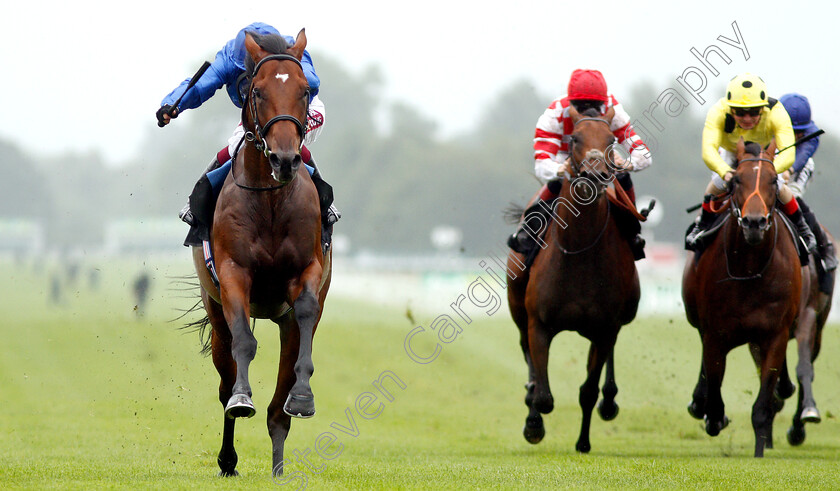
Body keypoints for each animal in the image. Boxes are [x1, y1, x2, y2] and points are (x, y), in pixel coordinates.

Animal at [191, 29, 332, 476]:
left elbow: (305, 312)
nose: (285, 159)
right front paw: (242, 399)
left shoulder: (308, 272)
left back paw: (279, 465)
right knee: (225, 381)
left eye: (305, 90)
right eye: (257, 91)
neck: (270, 199)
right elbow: (245, 343)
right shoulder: (233, 275)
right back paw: (228, 457)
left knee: (278, 409)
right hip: (215, 314)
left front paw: (303, 397)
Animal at [506, 106, 644, 454]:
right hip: (517, 308)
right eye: (574, 139)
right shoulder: (539, 324)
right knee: (525, 351)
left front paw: (583, 441)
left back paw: (610, 400)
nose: (596, 174)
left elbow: (588, 390)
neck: (580, 251)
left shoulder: (605, 327)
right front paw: (533, 424)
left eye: (611, 140)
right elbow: (543, 395)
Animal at [684, 137, 800, 458]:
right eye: (736, 180)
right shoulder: (715, 335)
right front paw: (712, 414)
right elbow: (714, 394)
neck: (750, 269)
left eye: (773, 180)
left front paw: (760, 452)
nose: (754, 223)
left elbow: (762, 406)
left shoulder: (775, 336)